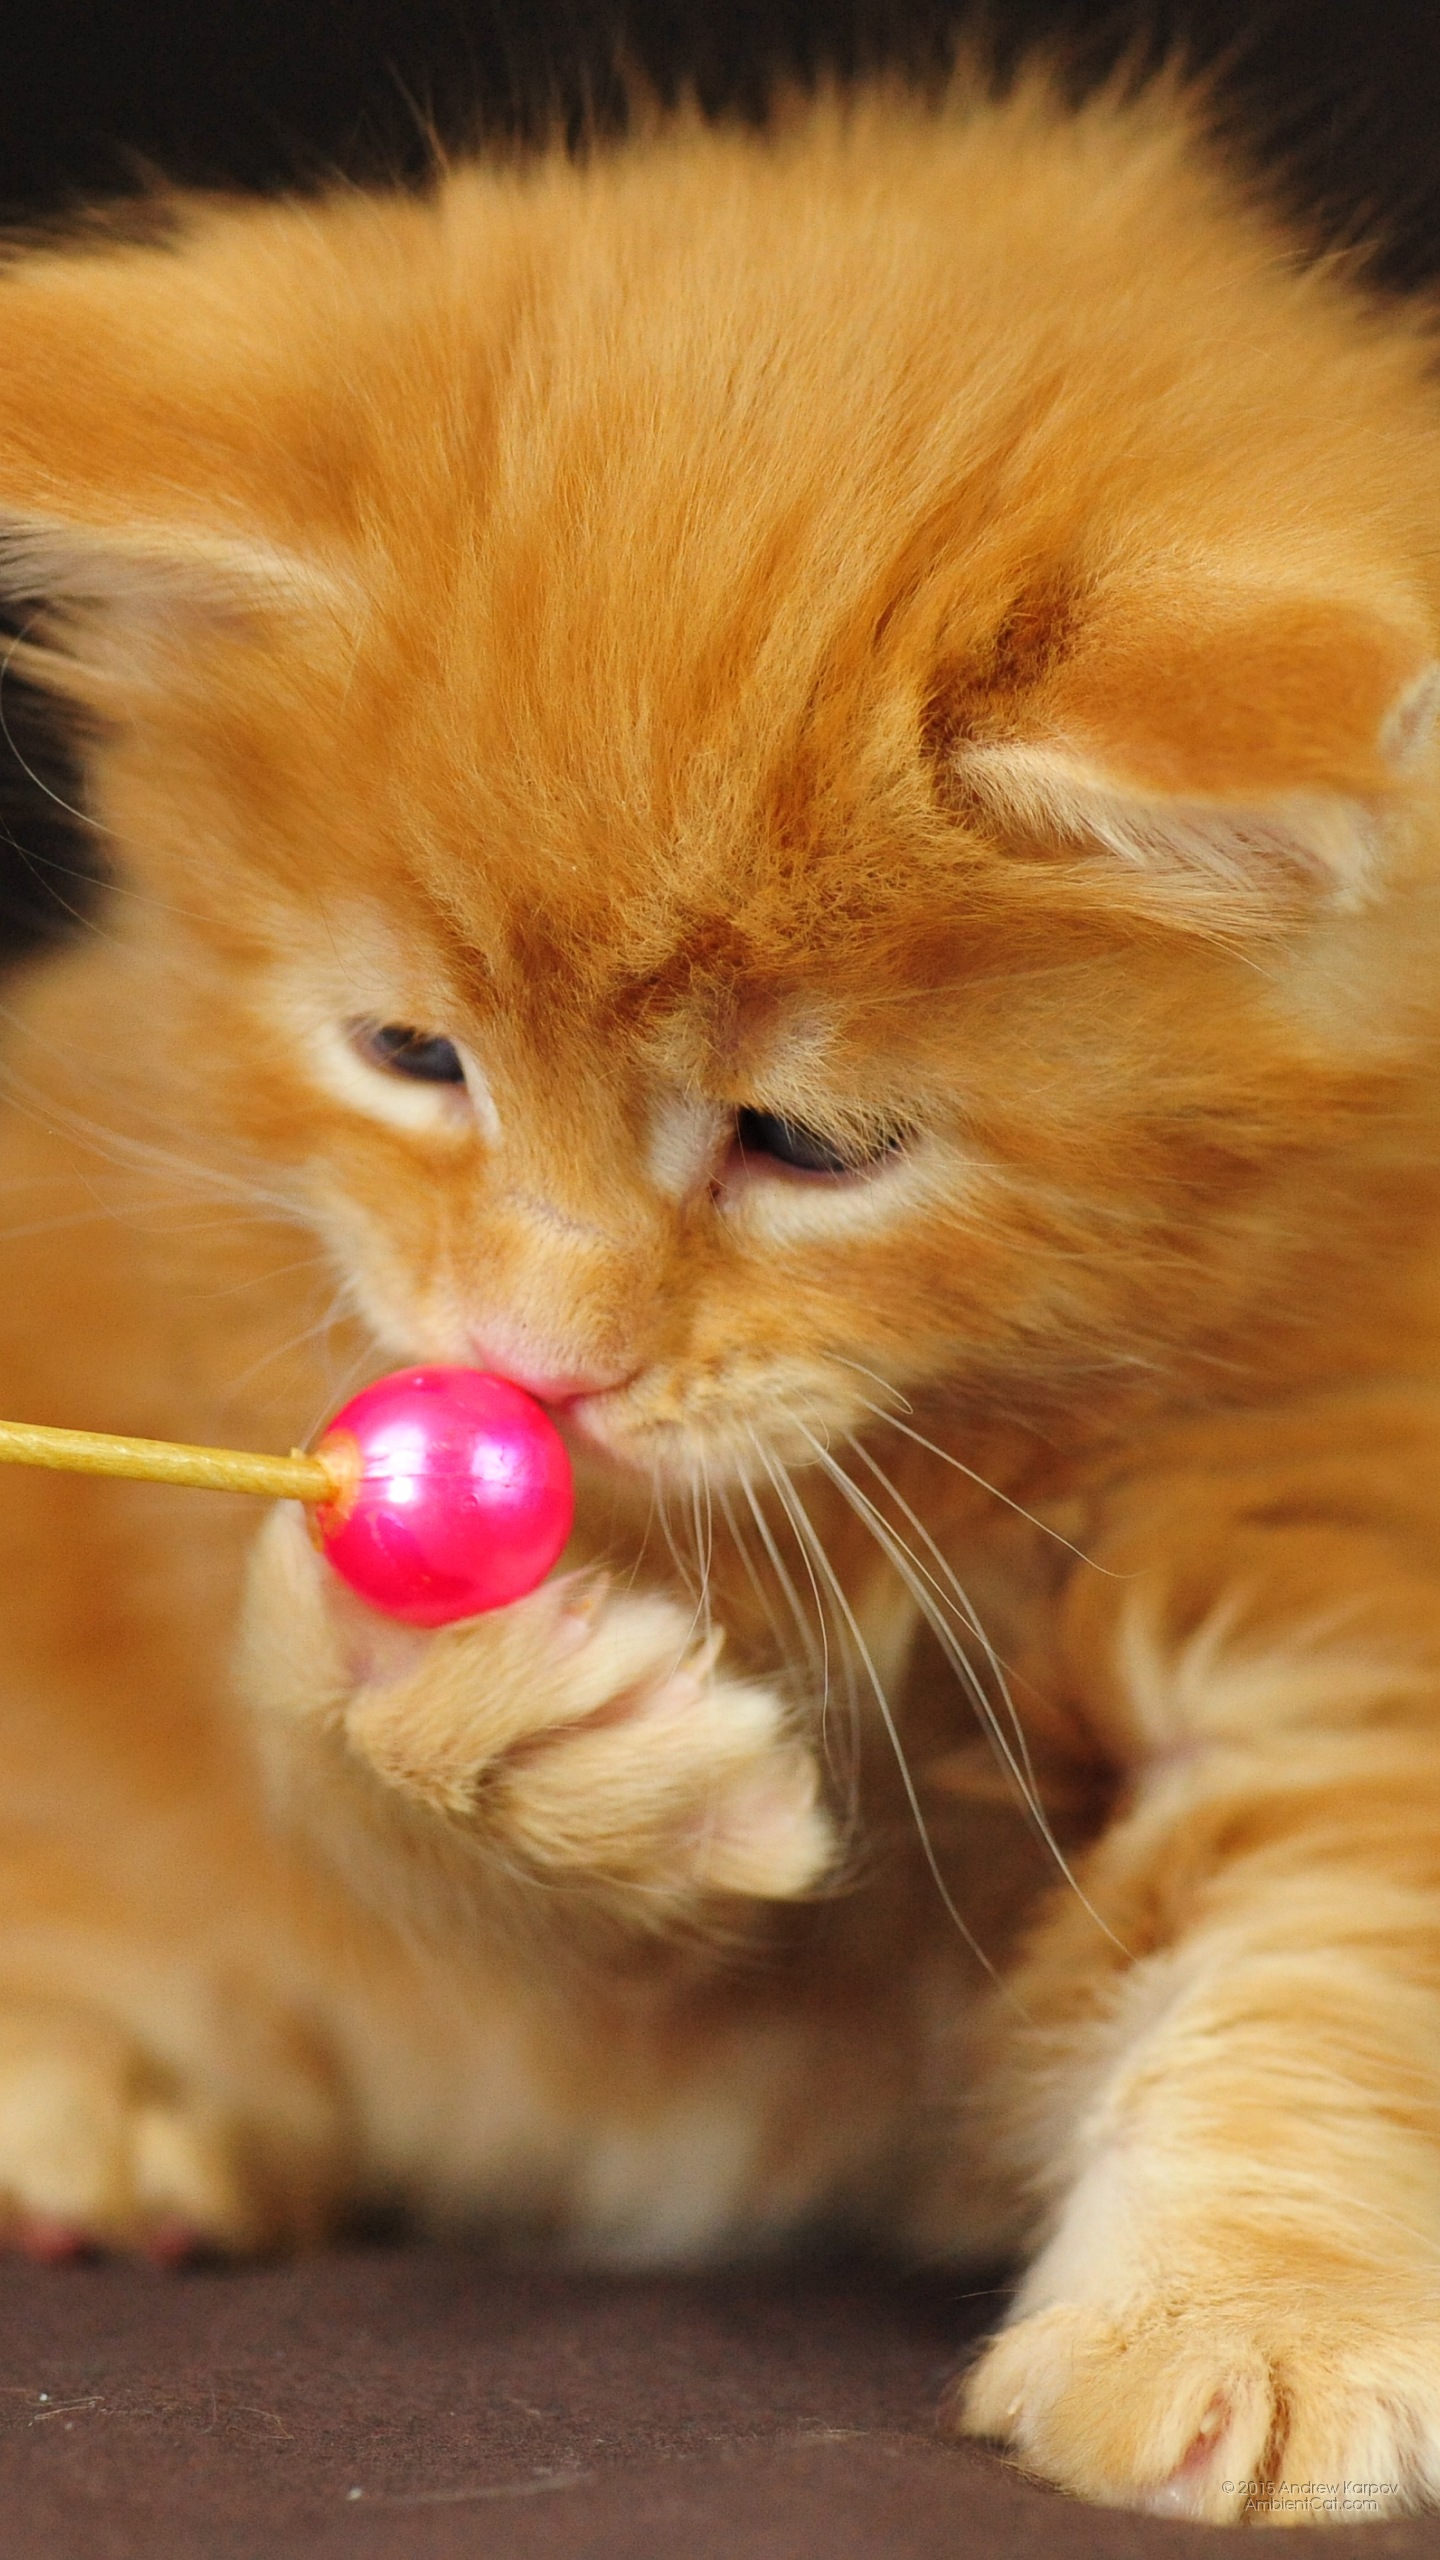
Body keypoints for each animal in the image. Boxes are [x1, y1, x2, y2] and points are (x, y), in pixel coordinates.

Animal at [2, 70, 1434, 2529]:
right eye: (410, 1055)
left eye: (810, 1147)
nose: (540, 1369)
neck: (979, 1450)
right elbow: (373, 1815)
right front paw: (461, 1715)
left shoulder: (1345, 1518)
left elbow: (1348, 1940)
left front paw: (1249, 2309)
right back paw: (97, 2100)